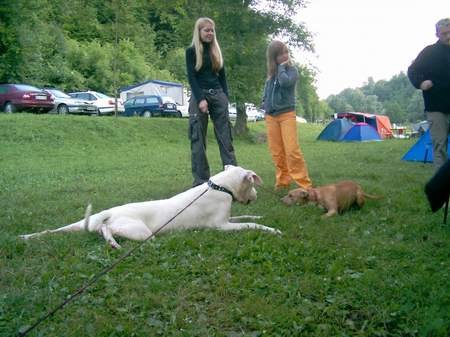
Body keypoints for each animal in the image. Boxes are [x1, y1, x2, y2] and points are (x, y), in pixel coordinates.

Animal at [22, 165, 282, 247]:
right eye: (252, 184)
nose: (256, 195)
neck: (220, 186)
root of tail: (109, 212)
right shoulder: (220, 226)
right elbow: (249, 225)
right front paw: (273, 229)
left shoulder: (228, 220)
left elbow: (248, 217)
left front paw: (260, 215)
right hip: (141, 232)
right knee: (108, 229)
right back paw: (113, 242)